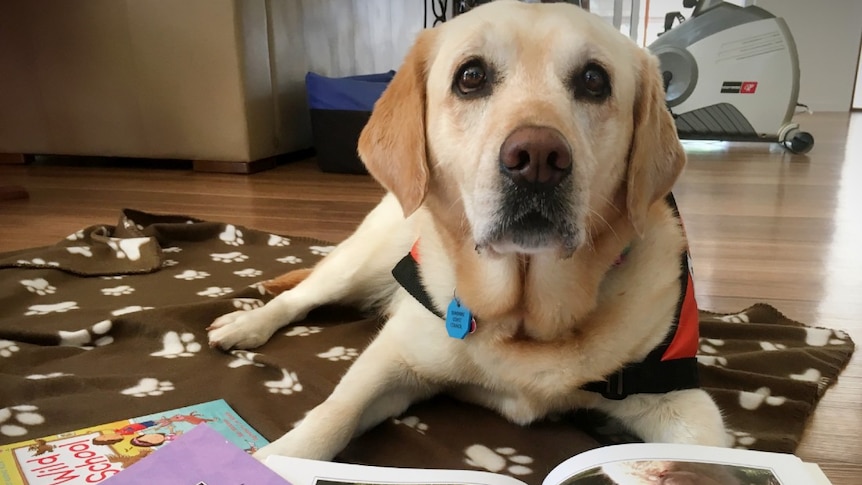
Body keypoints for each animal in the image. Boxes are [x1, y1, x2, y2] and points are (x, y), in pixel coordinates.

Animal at [208, 0, 728, 462]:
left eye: (594, 80)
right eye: (471, 76)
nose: (537, 159)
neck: (522, 320)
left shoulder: (679, 397)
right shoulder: (395, 357)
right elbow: (334, 414)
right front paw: (274, 459)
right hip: (362, 260)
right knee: (301, 295)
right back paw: (245, 323)